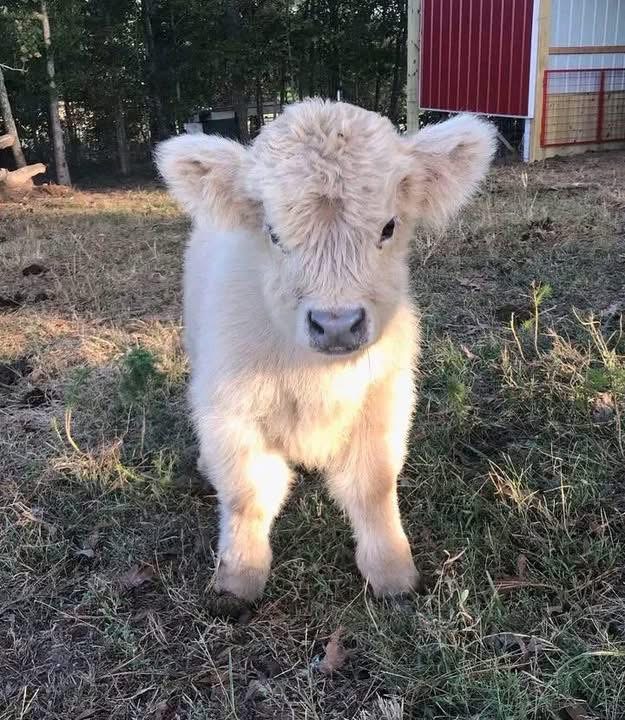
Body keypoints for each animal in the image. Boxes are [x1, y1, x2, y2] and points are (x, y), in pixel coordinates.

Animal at [156, 99, 496, 601]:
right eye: (273, 233)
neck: (319, 375)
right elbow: (246, 495)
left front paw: (393, 572)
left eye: (388, 227)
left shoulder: (384, 400)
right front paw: (237, 579)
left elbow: (374, 486)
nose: (336, 324)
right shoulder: (230, 411)